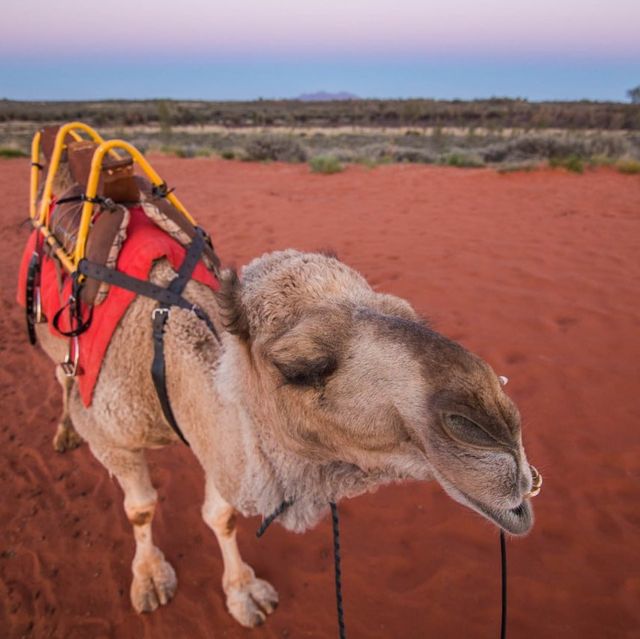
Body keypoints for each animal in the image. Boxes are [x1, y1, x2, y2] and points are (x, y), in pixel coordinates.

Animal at [33, 248, 536, 628]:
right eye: (300, 368)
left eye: (412, 316)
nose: (498, 433)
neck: (161, 362)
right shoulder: (112, 437)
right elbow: (140, 508)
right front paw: (152, 580)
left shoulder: (223, 449)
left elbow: (221, 516)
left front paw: (244, 593)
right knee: (62, 376)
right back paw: (63, 432)